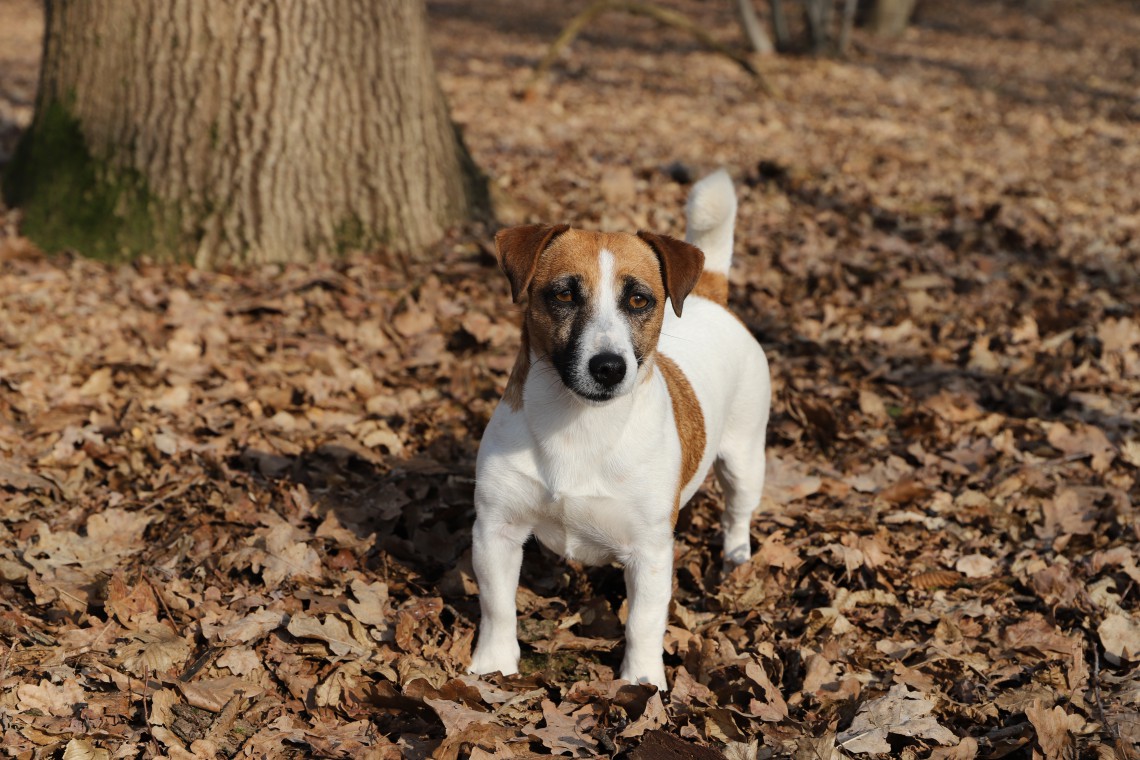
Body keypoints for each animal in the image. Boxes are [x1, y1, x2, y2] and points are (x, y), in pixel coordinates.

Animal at [467, 172, 770, 688]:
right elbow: (498, 607)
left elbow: (643, 623)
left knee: (737, 513)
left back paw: (735, 559)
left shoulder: (650, 552)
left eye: (639, 299)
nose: (608, 367)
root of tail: (709, 294)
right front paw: (494, 667)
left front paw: (642, 684)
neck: (579, 423)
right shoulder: (495, 529)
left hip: (745, 458)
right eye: (564, 294)